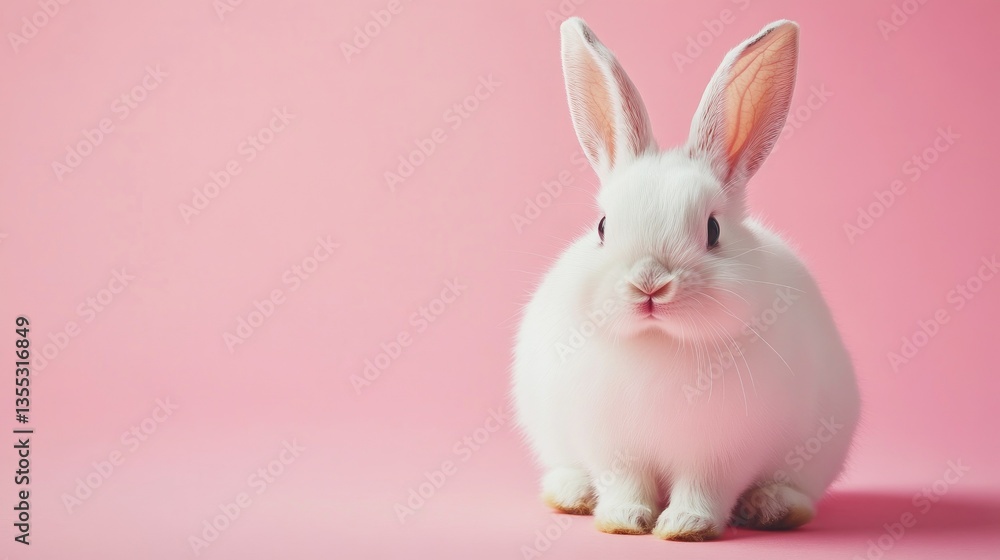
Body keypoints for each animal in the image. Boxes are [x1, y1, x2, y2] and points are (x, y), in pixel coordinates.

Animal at [511, 18, 860, 541]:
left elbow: (703, 490)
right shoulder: (612, 447)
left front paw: (685, 527)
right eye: (602, 227)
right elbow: (625, 484)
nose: (650, 283)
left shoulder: (721, 456)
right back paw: (572, 494)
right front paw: (624, 521)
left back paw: (773, 507)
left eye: (713, 229)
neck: (659, 343)